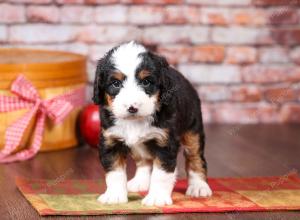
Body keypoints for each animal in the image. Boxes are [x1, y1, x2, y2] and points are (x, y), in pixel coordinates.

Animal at [92, 40, 212, 206]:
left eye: (146, 82)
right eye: (116, 83)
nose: (132, 107)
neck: (135, 122)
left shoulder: (165, 143)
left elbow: (161, 174)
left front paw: (157, 198)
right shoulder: (110, 140)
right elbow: (114, 172)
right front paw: (114, 196)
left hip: (192, 130)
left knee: (195, 157)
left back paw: (199, 186)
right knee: (144, 161)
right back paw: (140, 182)